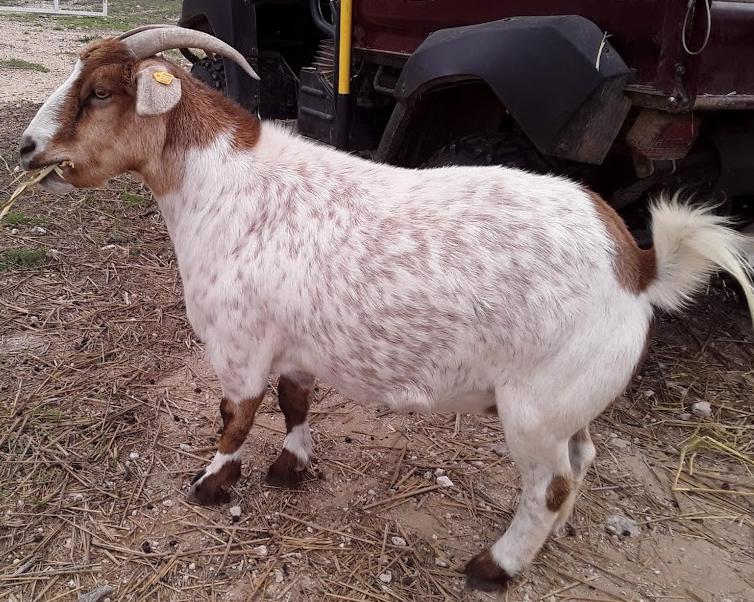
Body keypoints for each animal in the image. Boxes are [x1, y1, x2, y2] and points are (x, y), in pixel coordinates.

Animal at [19, 26, 754, 592]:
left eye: (101, 93)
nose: (26, 149)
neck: (222, 183)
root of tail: (635, 263)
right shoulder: (293, 346)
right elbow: (294, 402)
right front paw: (290, 468)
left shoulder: (237, 345)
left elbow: (236, 419)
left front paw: (212, 484)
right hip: (570, 396)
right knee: (583, 457)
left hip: (535, 406)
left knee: (549, 481)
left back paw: (495, 566)